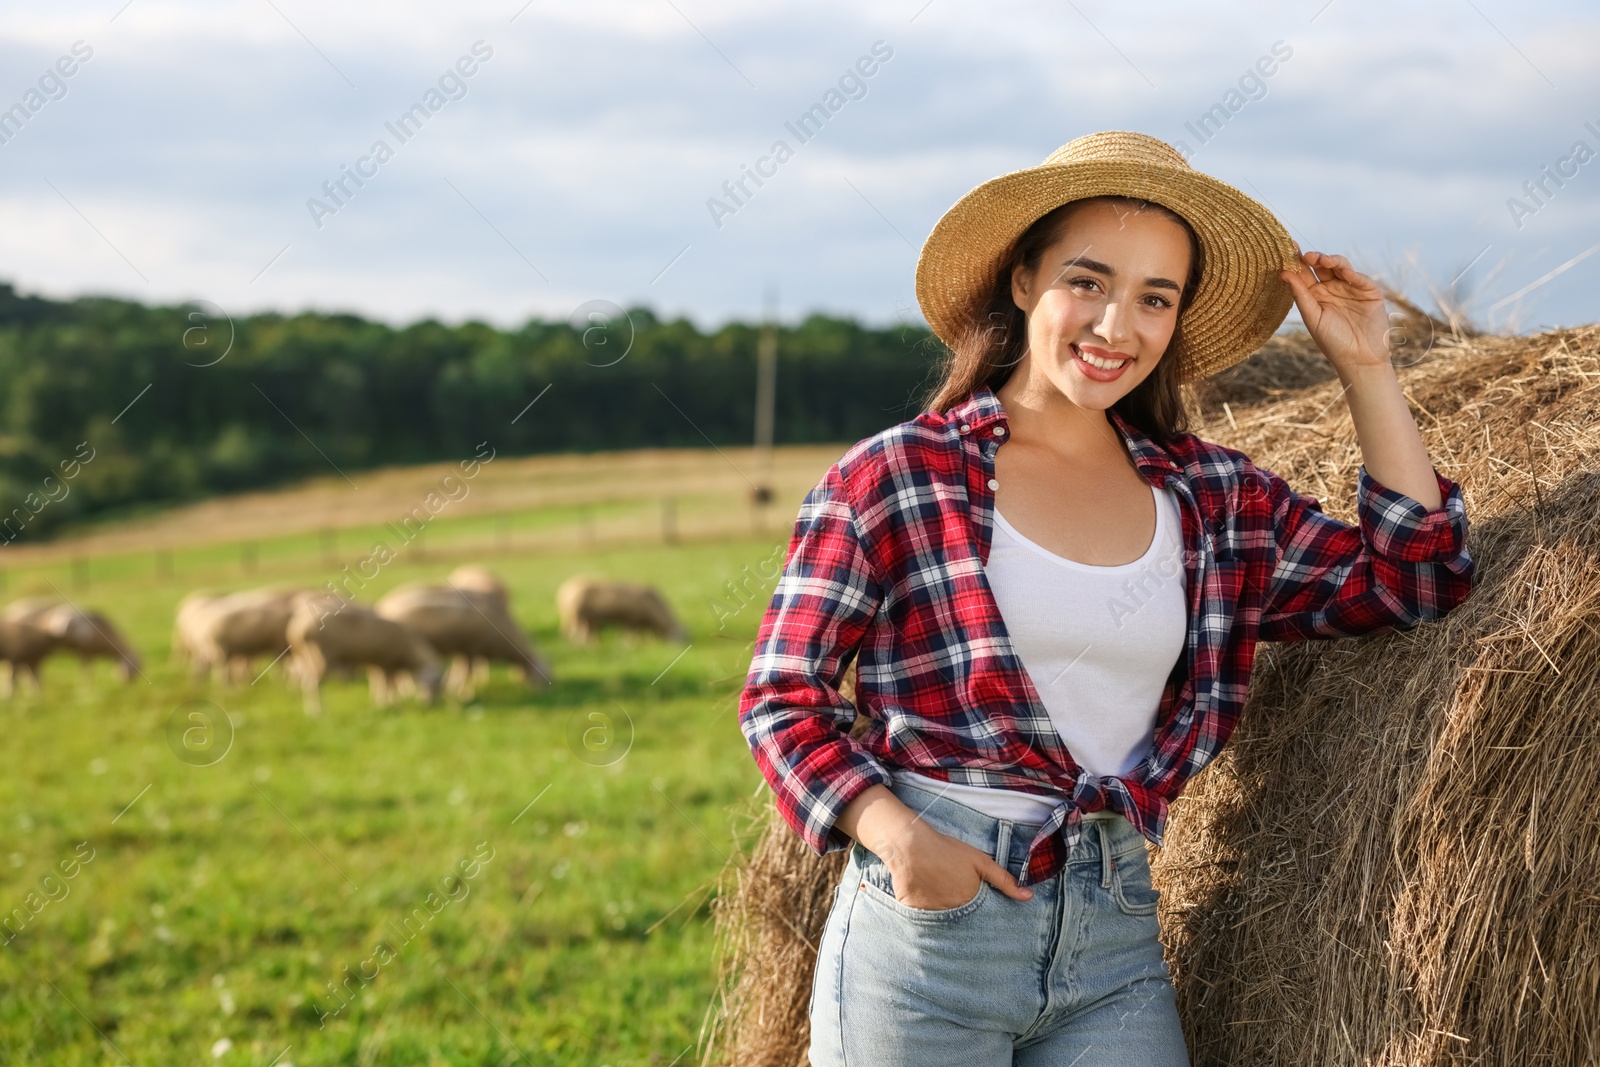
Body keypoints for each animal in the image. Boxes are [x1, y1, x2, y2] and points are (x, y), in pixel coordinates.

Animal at [284, 591, 441, 716]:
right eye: (434, 683)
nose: (431, 705)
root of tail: (296, 628)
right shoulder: (387, 663)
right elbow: (387, 685)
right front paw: (389, 704)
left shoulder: (382, 665)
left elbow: (383, 684)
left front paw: (384, 702)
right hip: (321, 655)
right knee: (313, 684)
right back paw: (318, 712)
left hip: (305, 657)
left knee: (304, 681)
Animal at [372, 579, 550, 697]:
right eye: (546, 672)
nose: (549, 690)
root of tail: (382, 605)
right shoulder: (472, 649)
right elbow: (466, 673)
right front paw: (464, 692)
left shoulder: (462, 649)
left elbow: (459, 669)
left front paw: (453, 686)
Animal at [553, 579, 684, 646]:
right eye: (679, 636)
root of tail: (564, 589)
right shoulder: (631, 620)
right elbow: (629, 634)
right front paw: (629, 644)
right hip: (577, 617)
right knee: (576, 634)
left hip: (585, 619)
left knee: (585, 633)